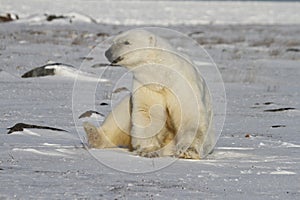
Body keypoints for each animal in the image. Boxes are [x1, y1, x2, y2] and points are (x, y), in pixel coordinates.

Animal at [84, 28, 216, 159]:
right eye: (114, 41)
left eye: (127, 42)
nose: (107, 53)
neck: (163, 75)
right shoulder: (147, 85)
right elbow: (147, 112)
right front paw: (149, 151)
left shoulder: (182, 83)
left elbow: (190, 113)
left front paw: (188, 151)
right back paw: (92, 133)